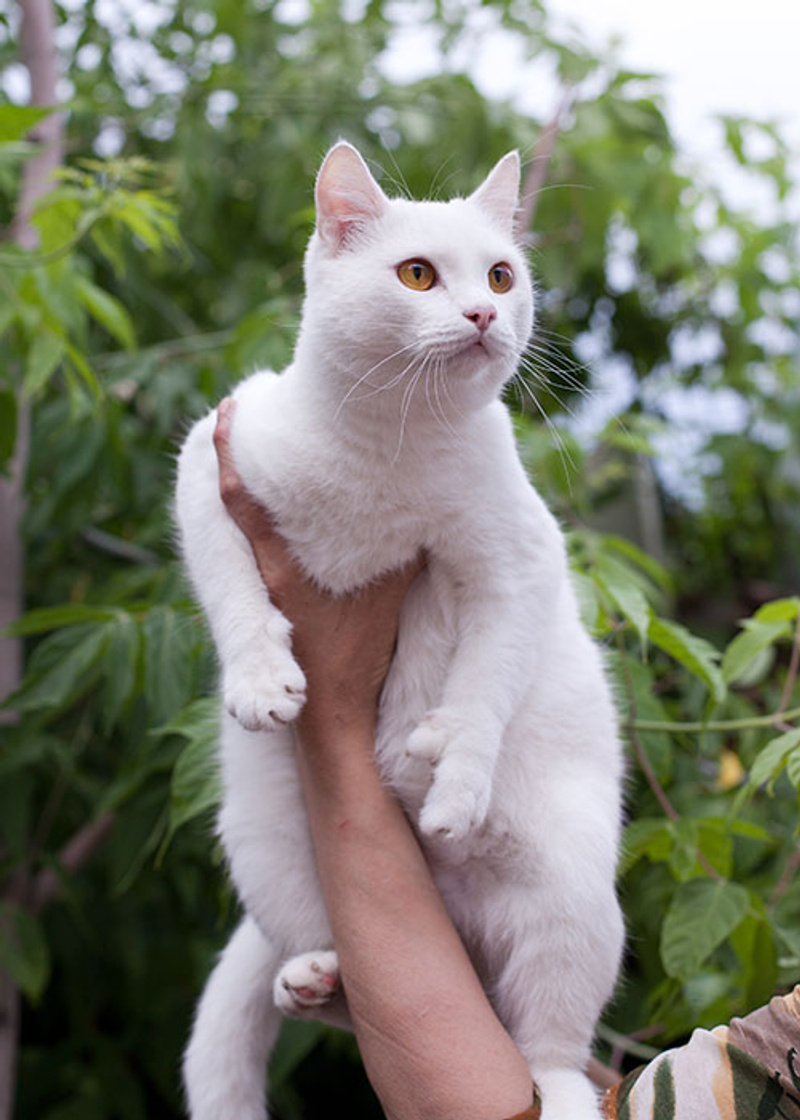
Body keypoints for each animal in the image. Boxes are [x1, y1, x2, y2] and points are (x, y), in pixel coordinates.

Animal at [175, 140, 625, 1120]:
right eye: (418, 274)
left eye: (500, 273)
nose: (484, 311)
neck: (389, 445)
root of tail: (453, 921)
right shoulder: (211, 456)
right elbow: (231, 588)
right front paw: (260, 679)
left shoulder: (519, 556)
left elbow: (486, 685)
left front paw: (455, 779)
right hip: (266, 843)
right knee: (335, 975)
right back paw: (311, 973)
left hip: (573, 901)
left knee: (548, 1047)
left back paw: (559, 1085)